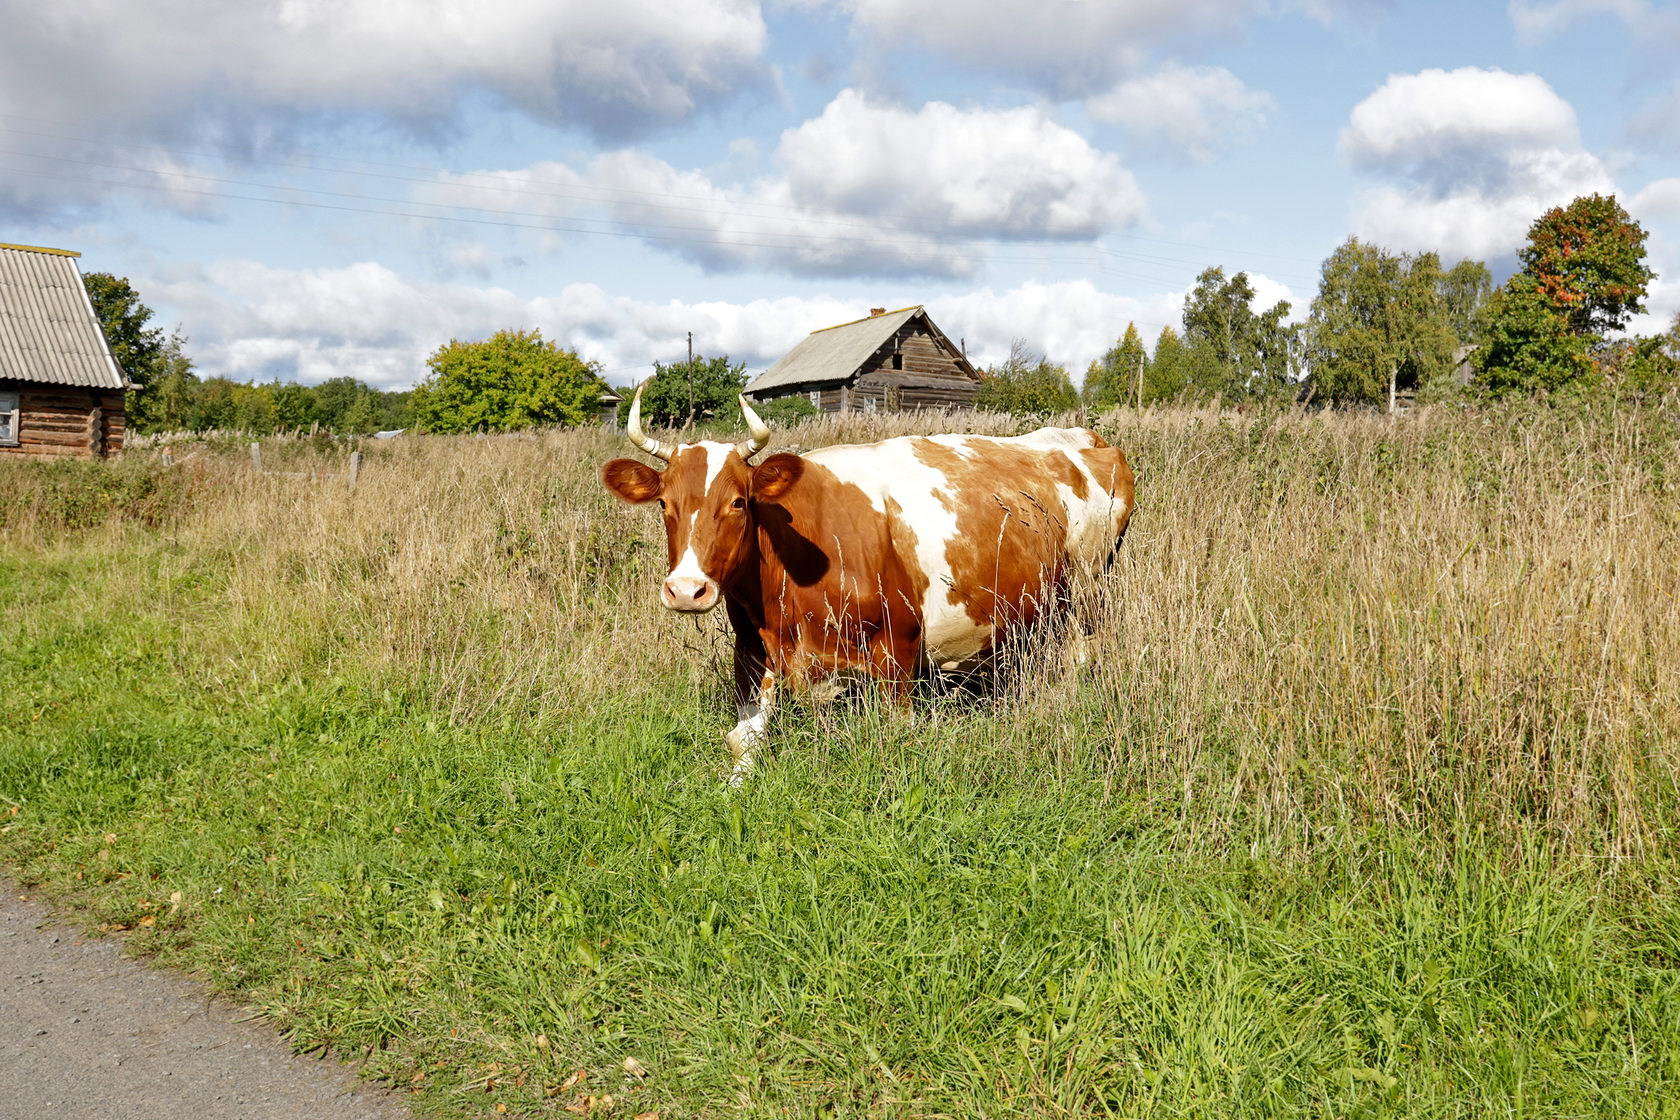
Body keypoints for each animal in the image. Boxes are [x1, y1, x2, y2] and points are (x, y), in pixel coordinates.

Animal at [598, 382, 1135, 779]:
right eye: (664, 504)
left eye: (738, 502)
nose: (687, 590)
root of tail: (1081, 438)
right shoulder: (753, 646)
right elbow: (742, 741)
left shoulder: (899, 648)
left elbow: (899, 733)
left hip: (1087, 594)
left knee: (1079, 661)